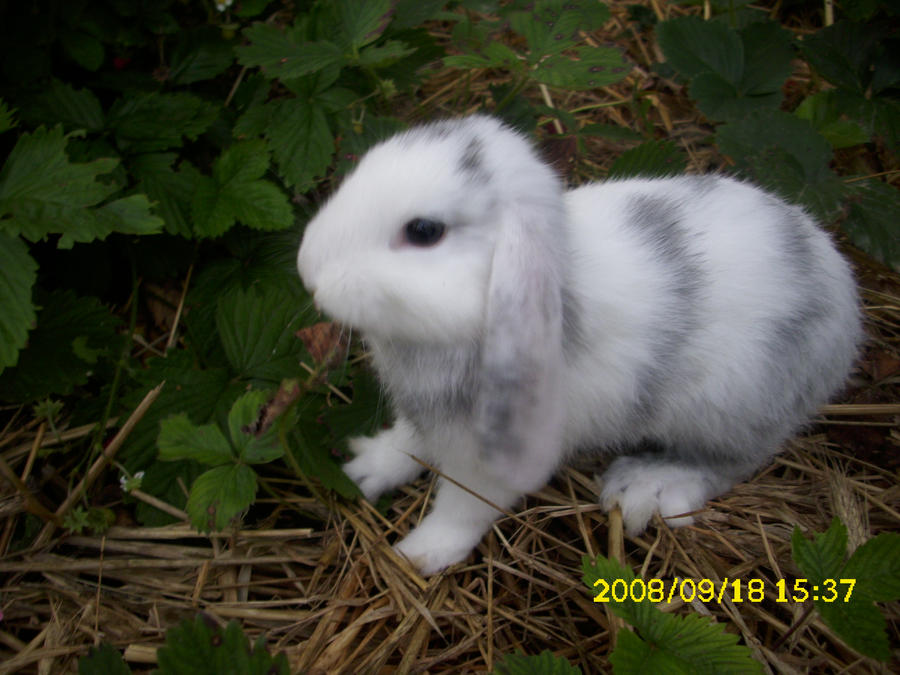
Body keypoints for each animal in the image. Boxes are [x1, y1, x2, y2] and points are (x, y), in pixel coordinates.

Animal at [296, 115, 863, 575]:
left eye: (423, 230)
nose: (307, 269)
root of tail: (846, 307)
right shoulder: (427, 418)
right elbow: (409, 443)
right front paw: (367, 468)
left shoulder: (490, 459)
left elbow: (466, 507)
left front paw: (419, 555)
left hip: (730, 406)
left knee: (731, 461)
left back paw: (645, 486)